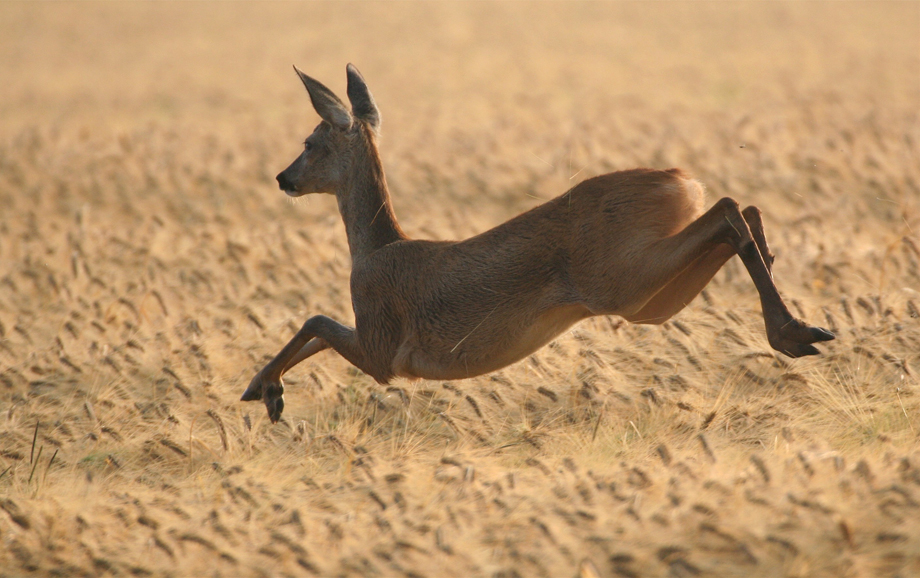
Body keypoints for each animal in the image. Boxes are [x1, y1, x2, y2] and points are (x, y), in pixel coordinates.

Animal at [241, 65, 836, 420]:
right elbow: (316, 334)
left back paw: (794, 332)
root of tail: (681, 183)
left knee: (730, 210)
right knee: (741, 211)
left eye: (309, 141)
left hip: (622, 281)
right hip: (650, 298)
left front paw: (266, 391)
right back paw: (801, 323)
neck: (376, 250)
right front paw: (261, 387)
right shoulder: (376, 342)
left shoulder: (384, 347)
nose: (283, 178)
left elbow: (316, 321)